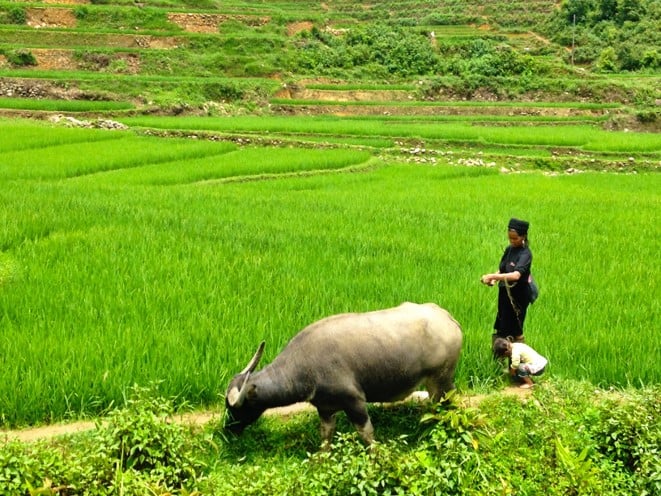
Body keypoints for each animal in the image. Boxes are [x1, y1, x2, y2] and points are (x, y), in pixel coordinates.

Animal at [224, 300, 462, 448]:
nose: (227, 431)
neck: (304, 367)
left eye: (236, 408)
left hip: (442, 380)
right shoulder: (325, 408)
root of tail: (449, 319)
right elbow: (326, 436)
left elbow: (367, 434)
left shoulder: (355, 401)